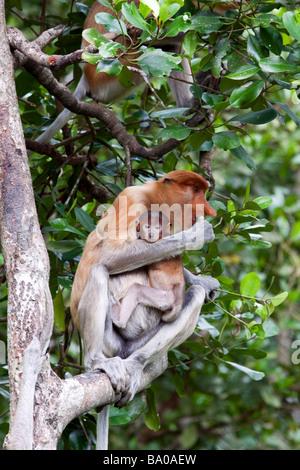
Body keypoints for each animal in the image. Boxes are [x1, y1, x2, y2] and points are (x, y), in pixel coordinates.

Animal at [71, 171, 220, 450]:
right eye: (196, 191)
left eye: (203, 192)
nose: (207, 210)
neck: (154, 198)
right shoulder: (132, 199)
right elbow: (110, 255)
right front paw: (198, 234)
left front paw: (203, 282)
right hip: (110, 339)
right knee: (100, 270)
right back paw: (97, 360)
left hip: (139, 341)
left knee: (193, 297)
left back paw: (137, 364)